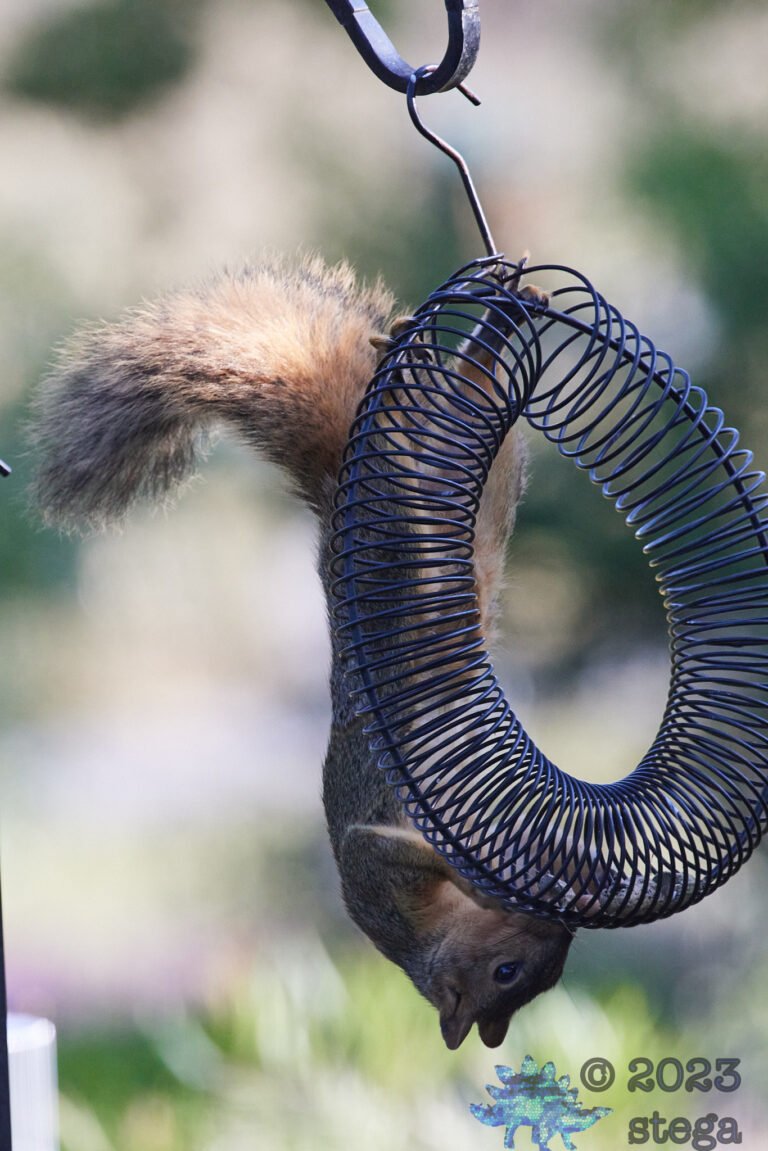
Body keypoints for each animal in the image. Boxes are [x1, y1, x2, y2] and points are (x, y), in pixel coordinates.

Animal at [31, 252, 572, 1050]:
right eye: (507, 974)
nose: (561, 930)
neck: (415, 937)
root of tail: (334, 500)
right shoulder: (375, 867)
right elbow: (395, 847)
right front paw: (496, 880)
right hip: (413, 528)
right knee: (436, 416)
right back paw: (466, 330)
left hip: (483, 487)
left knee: (462, 396)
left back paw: (489, 318)